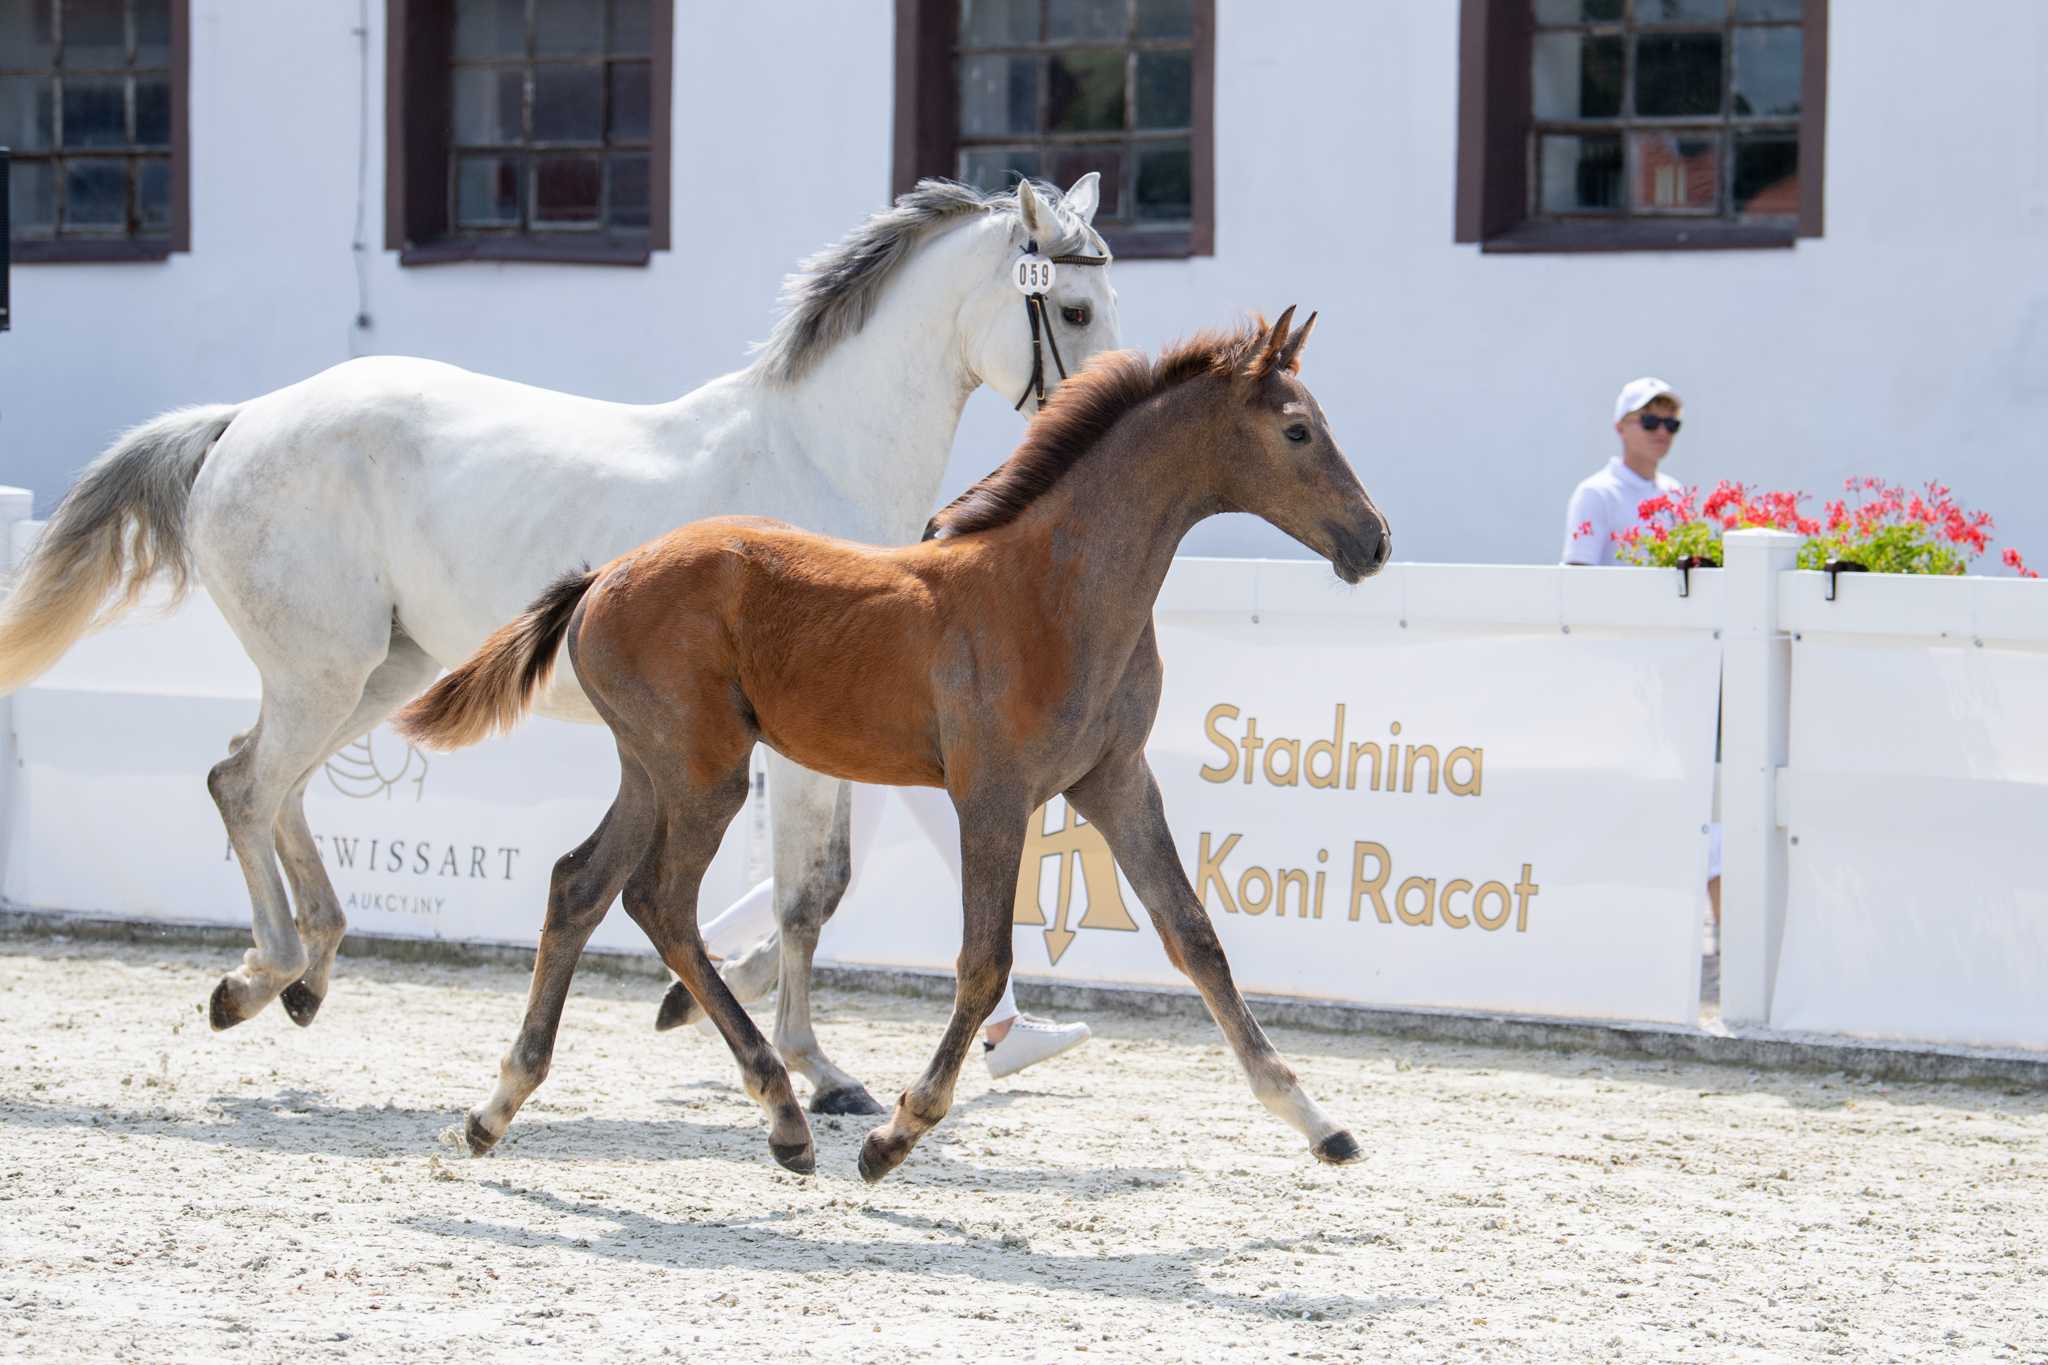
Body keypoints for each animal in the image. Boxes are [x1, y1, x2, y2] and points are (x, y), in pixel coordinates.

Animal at [0, 177, 1118, 1116]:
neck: (815, 455)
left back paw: (309, 974)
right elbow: (811, 891)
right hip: (325, 672)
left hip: (378, 674)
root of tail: (241, 424)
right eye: (1071, 310)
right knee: (243, 786)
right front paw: (813, 1066)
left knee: (269, 785)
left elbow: (827, 883)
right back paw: (258, 977)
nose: (1100, 412)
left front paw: (788, 1043)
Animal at [392, 308, 1391, 1180]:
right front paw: (897, 1134)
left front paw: (1320, 1121)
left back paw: (496, 1108)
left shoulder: (1115, 780)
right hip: (705, 773)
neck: (1056, 588)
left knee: (580, 885)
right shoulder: (993, 793)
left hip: (652, 767)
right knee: (659, 901)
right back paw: (784, 1113)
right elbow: (984, 962)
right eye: (1298, 431)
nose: (1374, 541)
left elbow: (1195, 935)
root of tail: (604, 575)